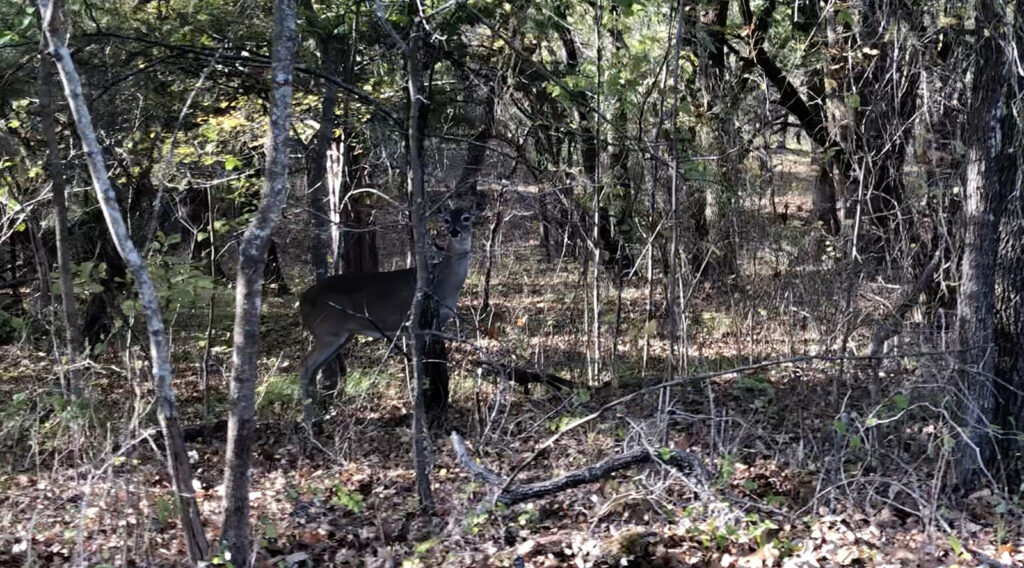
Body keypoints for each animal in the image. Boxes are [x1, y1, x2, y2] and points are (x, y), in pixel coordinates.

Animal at [299, 204, 481, 425]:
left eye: (466, 218)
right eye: (446, 219)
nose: (454, 231)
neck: (443, 283)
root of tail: (302, 301)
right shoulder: (416, 324)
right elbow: (419, 367)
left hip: (342, 335)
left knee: (315, 369)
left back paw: (317, 417)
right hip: (327, 331)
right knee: (305, 367)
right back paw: (309, 423)